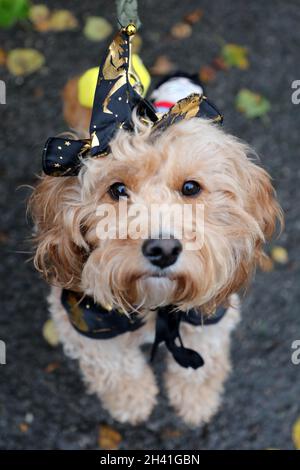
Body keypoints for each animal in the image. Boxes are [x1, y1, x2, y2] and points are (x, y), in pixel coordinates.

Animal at [29, 27, 282, 428]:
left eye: (191, 188)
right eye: (117, 190)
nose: (163, 249)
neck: (155, 305)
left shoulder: (211, 308)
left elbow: (204, 359)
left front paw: (196, 401)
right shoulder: (85, 318)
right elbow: (116, 367)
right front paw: (132, 400)